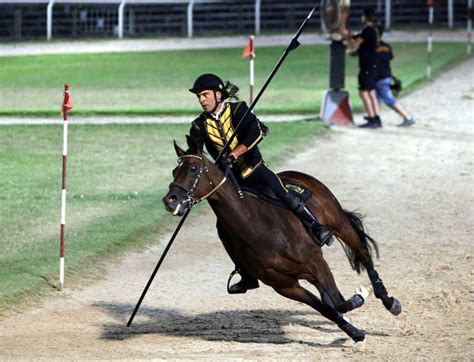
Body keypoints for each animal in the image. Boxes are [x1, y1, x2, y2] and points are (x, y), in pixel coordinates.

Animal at [162, 137, 400, 344]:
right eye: (174, 171)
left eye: (193, 169)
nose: (170, 200)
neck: (261, 228)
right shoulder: (284, 285)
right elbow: (328, 308)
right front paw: (354, 332)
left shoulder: (316, 263)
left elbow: (339, 303)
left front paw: (360, 296)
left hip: (340, 224)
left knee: (364, 254)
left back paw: (389, 301)